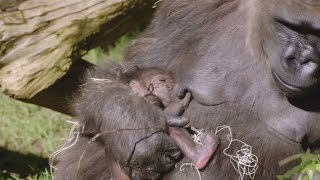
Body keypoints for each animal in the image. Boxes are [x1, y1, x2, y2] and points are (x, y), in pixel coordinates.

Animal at [53, 0, 318, 179]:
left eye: (318, 35)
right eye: (291, 27)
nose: (300, 61)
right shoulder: (192, 7)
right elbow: (132, 68)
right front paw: (133, 126)